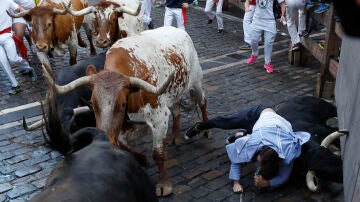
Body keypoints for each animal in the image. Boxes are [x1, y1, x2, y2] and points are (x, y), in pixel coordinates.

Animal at [43, 26, 208, 196]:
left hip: (196, 83)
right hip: (174, 92)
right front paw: (143, 160)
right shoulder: (123, 126)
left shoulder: (159, 117)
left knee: (203, 102)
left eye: (122, 104)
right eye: (93, 104)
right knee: (176, 111)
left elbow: (158, 153)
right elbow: (122, 145)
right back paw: (175, 136)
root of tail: (178, 30)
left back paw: (205, 129)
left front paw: (164, 183)